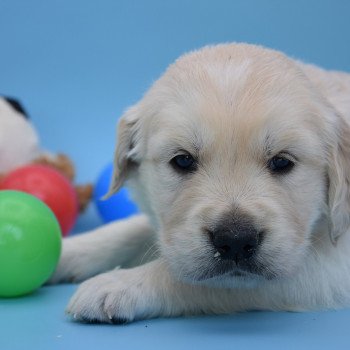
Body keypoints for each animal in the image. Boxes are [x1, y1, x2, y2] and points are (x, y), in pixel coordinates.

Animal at [50, 43, 350, 322]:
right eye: (182, 161)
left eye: (282, 162)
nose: (236, 240)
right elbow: (128, 230)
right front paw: (64, 251)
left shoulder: (329, 266)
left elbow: (195, 280)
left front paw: (118, 283)